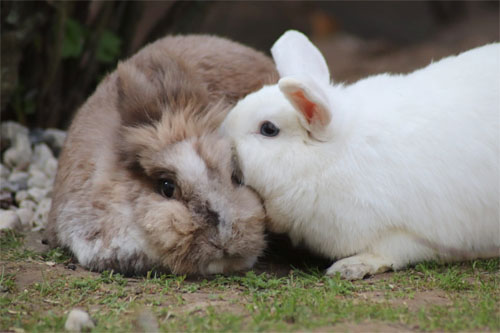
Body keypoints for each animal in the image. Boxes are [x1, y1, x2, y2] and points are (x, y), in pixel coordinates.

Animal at [223, 30, 500, 278]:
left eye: (268, 129)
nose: (224, 136)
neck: (330, 160)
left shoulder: (409, 232)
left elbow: (390, 252)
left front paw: (350, 267)